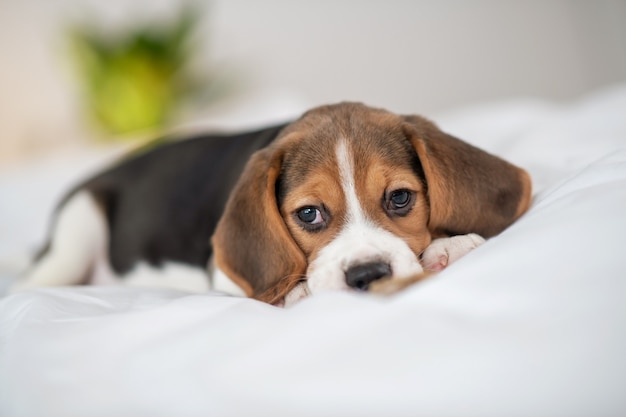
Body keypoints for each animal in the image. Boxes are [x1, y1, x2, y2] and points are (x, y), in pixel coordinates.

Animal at [13, 103, 532, 306]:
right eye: (309, 214)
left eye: (400, 198)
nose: (367, 276)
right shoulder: (222, 273)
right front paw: (298, 292)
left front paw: (449, 246)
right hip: (77, 230)